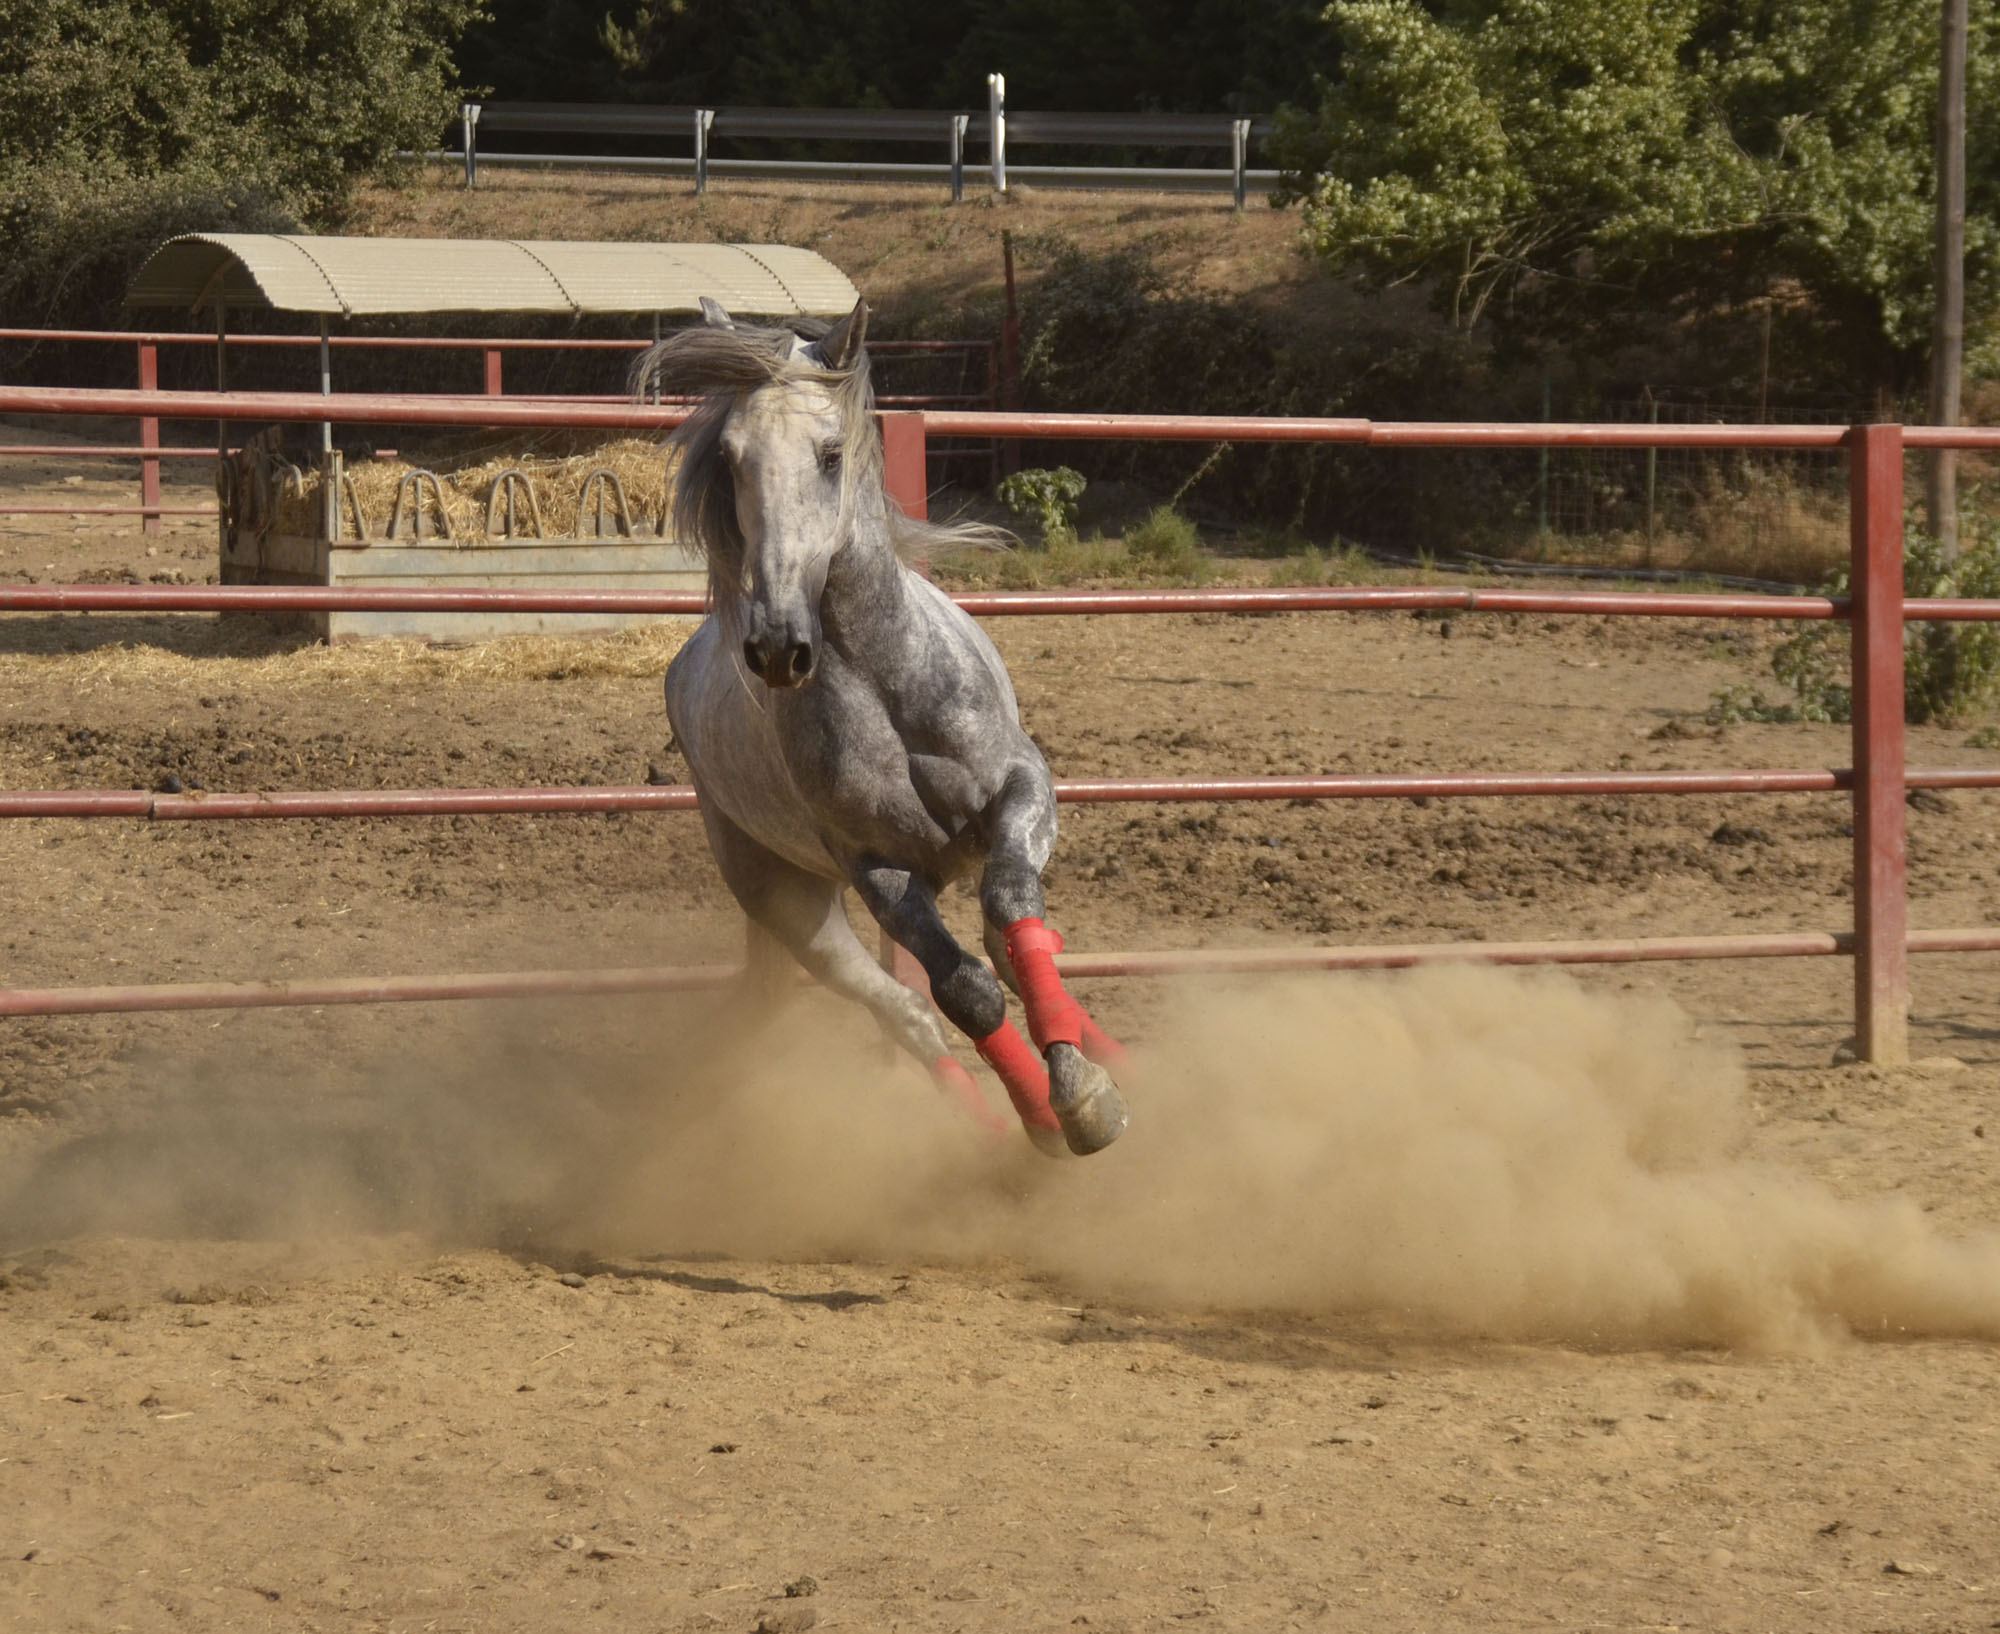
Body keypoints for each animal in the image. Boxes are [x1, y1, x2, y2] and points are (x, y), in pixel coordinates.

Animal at [640, 296, 1136, 1160]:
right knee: (907, 1012)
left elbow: (1013, 907)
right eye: (730, 459)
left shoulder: (1023, 789)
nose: (777, 647)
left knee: (1010, 946)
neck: (887, 683)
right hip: (793, 909)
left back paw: (1111, 1058)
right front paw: (1061, 1115)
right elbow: (963, 992)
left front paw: (1083, 1088)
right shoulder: (878, 872)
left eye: (830, 454)